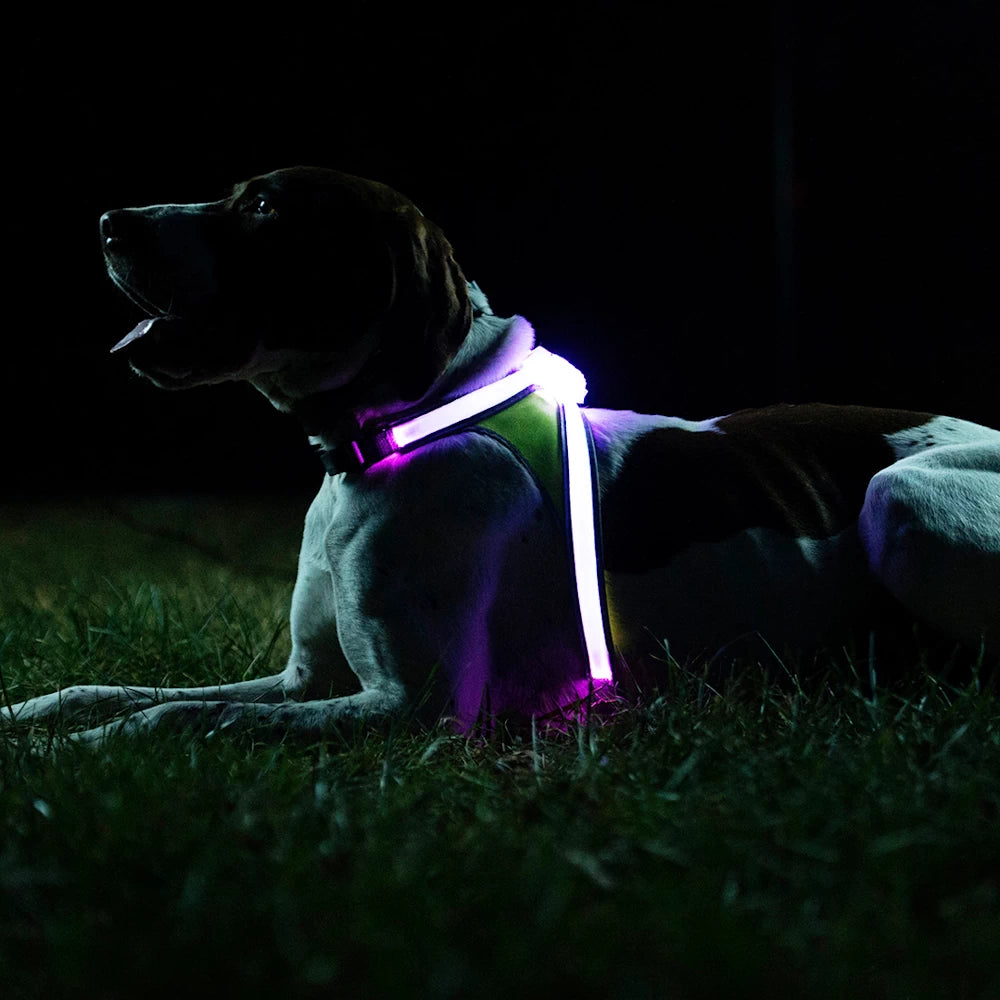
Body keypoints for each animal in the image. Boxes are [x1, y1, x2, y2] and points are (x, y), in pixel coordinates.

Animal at [7, 166, 1000, 744]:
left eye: (261, 206)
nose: (110, 221)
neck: (409, 427)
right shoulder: (305, 678)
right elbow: (112, 691)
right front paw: (31, 717)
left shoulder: (411, 706)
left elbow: (176, 717)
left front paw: (82, 757)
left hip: (898, 503)